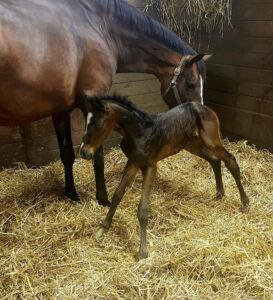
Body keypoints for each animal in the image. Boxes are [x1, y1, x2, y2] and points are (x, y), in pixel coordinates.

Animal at [79, 96, 249, 260]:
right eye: (85, 123)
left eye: (98, 124)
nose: (83, 152)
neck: (138, 132)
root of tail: (203, 107)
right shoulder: (133, 162)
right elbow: (117, 195)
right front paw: (102, 230)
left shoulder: (150, 167)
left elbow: (143, 209)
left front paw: (142, 252)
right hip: (191, 143)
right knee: (215, 161)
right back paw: (220, 193)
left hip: (211, 140)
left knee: (231, 161)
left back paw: (245, 202)